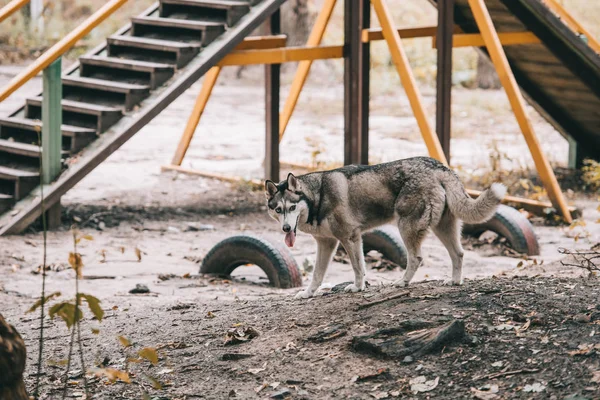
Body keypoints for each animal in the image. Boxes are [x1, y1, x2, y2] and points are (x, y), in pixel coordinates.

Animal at [264, 158, 504, 298]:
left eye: (292, 207)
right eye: (278, 209)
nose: (286, 228)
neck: (317, 197)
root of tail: (439, 166)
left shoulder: (350, 238)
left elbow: (357, 268)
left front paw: (357, 288)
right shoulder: (327, 243)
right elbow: (317, 274)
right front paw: (308, 293)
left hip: (406, 228)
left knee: (416, 258)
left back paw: (402, 282)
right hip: (442, 229)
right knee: (459, 254)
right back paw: (454, 281)